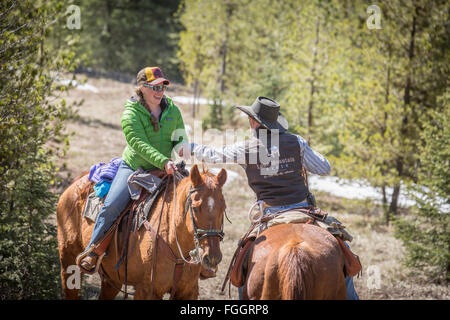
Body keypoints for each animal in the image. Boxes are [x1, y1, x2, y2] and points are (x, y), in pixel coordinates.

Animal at [56, 165, 227, 300]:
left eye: (223, 208)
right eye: (195, 208)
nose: (212, 257)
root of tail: (79, 180)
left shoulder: (188, 291)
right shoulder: (146, 291)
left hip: (111, 278)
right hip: (68, 260)